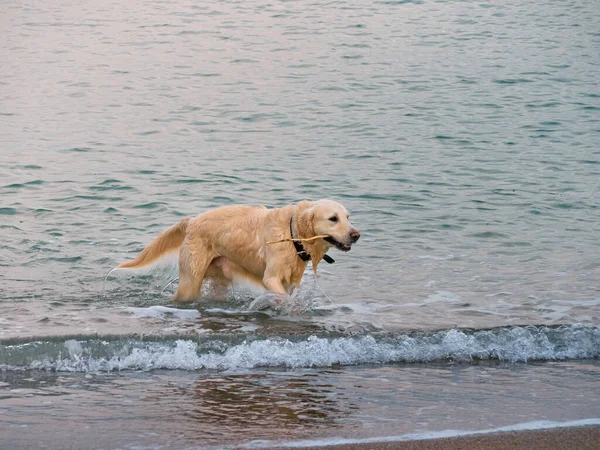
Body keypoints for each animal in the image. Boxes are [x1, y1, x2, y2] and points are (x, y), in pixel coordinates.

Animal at [113, 200, 360, 302]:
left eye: (348, 217)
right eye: (333, 218)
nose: (356, 235)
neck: (292, 234)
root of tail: (191, 221)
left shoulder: (291, 281)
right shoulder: (271, 278)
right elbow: (280, 295)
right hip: (191, 280)